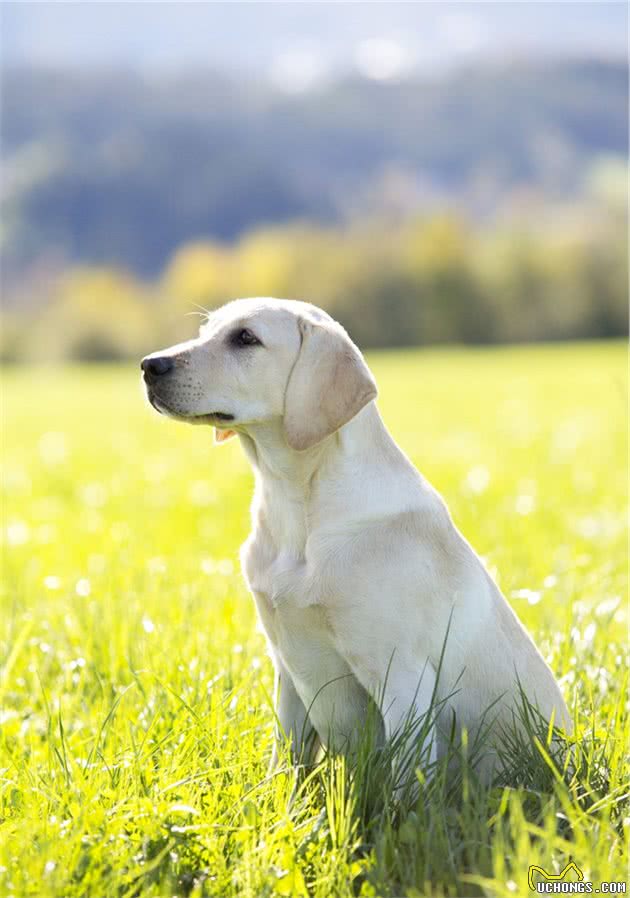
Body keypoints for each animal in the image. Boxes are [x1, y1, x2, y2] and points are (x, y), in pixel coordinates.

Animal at [142, 298, 572, 780]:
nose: (149, 365)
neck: (298, 507)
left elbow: (406, 781)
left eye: (246, 338)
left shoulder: (401, 674)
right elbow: (285, 763)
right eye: (206, 331)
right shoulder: (287, 667)